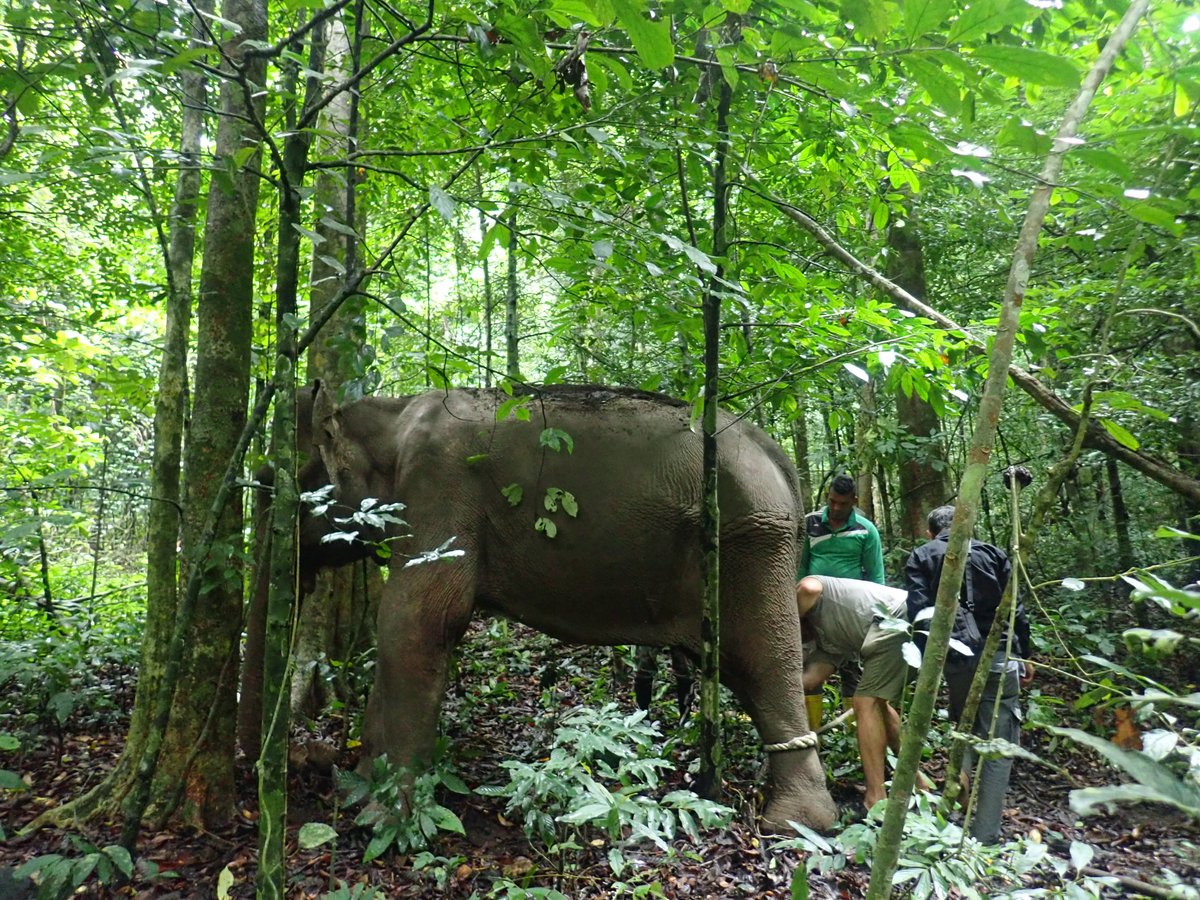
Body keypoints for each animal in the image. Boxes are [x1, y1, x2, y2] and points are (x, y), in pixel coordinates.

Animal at [289, 381, 836, 832]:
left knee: (766, 664)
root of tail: (778, 458)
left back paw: (797, 822)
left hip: (749, 542)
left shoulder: (437, 489)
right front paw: (360, 784)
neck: (395, 412)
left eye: (296, 483)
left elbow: (419, 620)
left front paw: (380, 820)